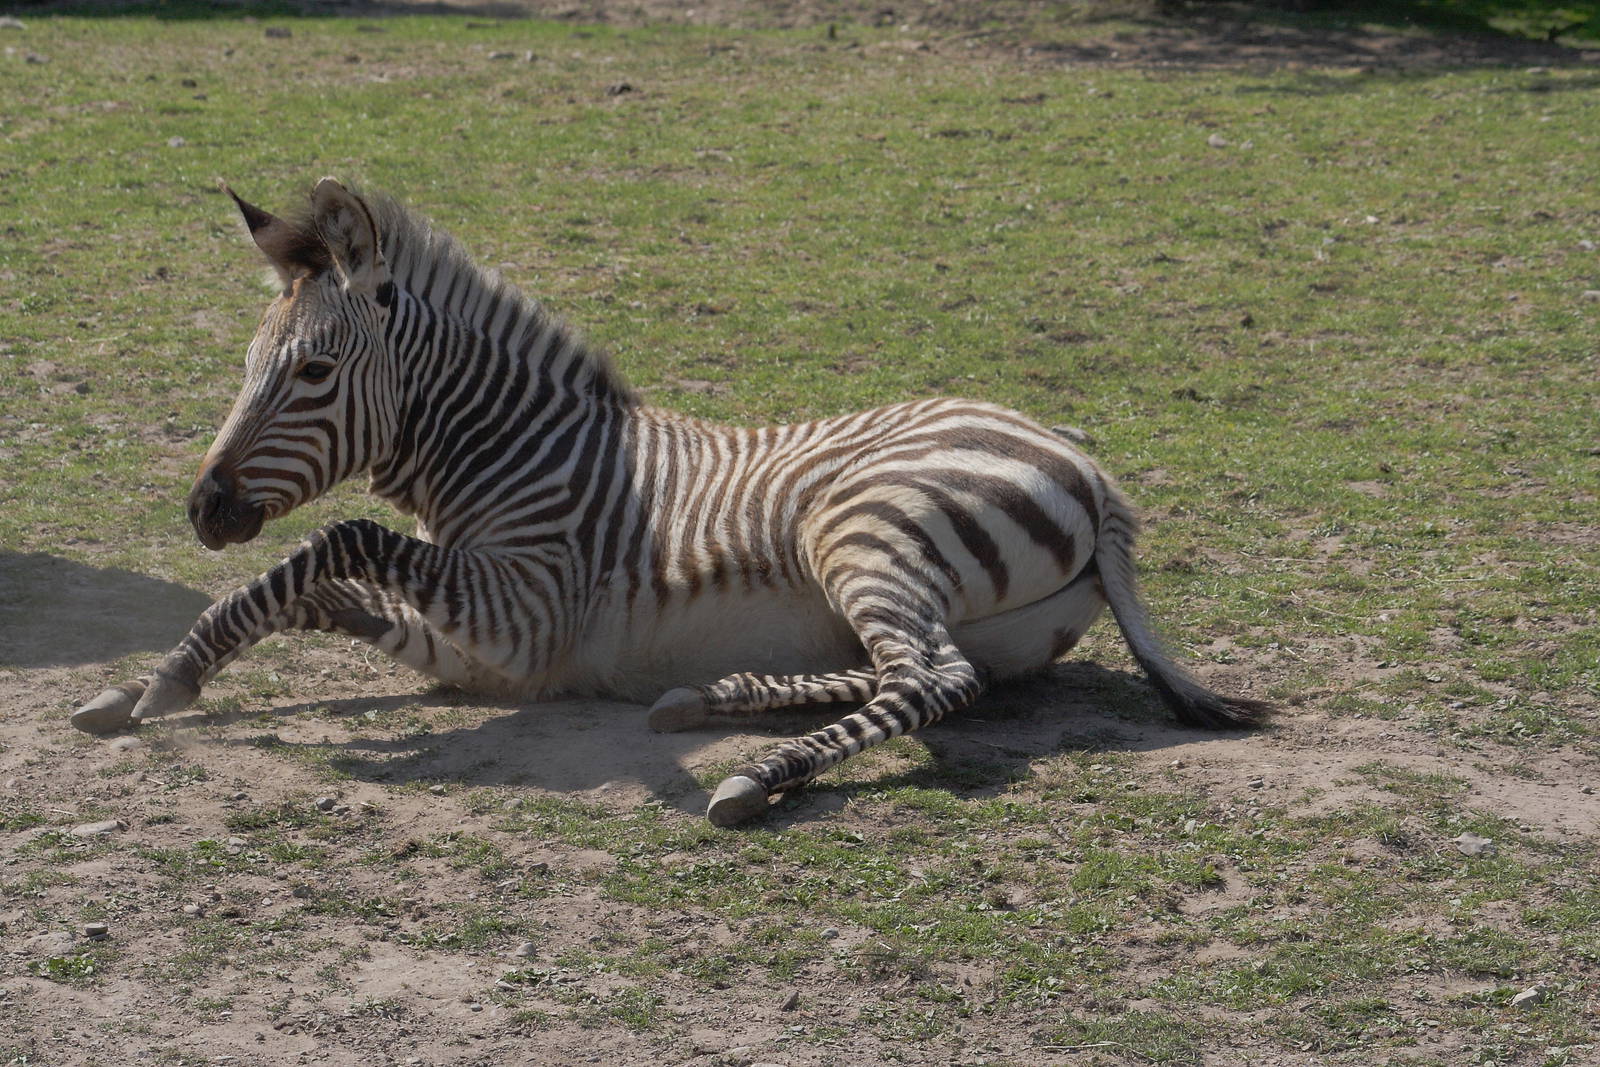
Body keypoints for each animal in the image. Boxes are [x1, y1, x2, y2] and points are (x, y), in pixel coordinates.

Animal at [71, 178, 1268, 826]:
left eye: (313, 373)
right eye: (247, 364)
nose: (202, 509)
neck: (515, 450)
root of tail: (1095, 474)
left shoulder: (525, 614)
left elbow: (333, 541)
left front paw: (165, 679)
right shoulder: (478, 647)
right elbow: (303, 584)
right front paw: (159, 680)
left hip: (861, 526)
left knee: (933, 677)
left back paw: (758, 772)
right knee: (914, 670)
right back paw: (716, 697)